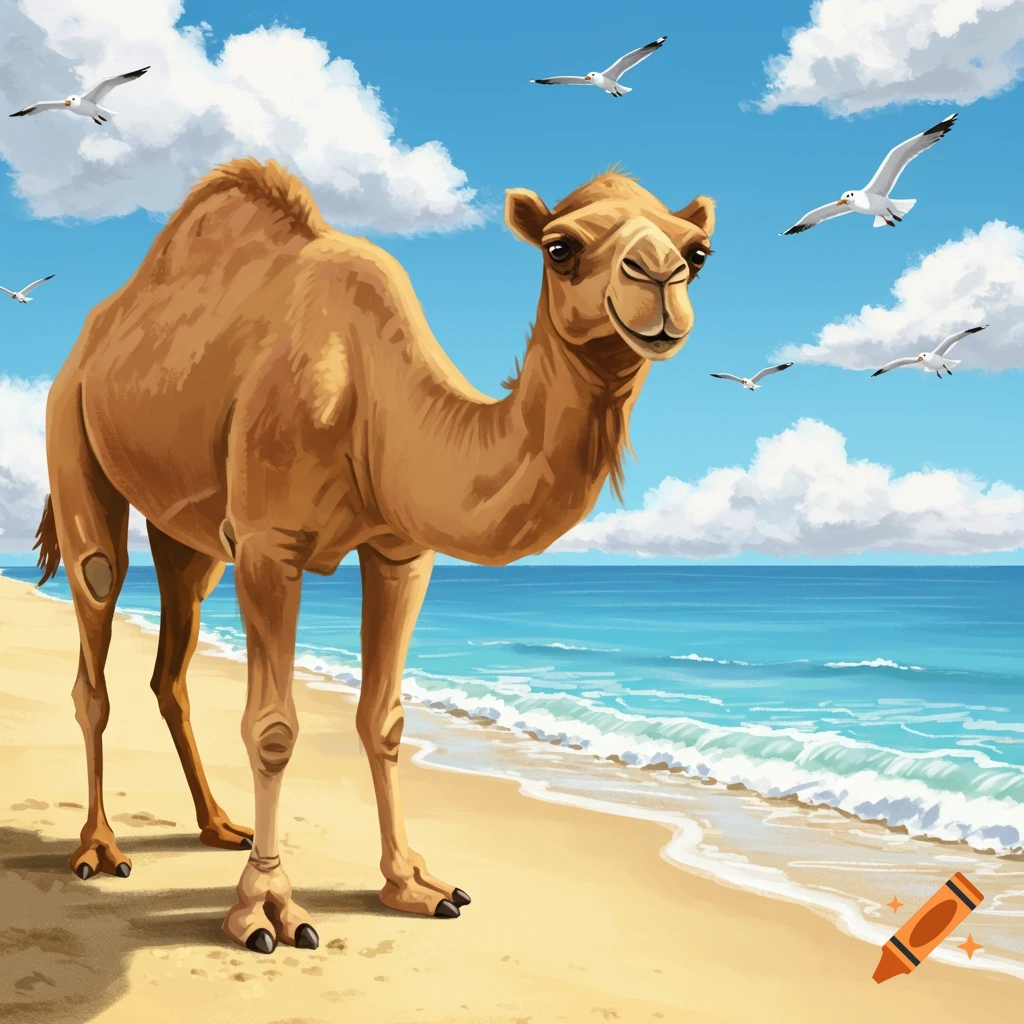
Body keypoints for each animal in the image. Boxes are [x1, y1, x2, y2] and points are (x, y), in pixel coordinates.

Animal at [33, 157, 715, 954]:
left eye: (698, 253)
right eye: (560, 247)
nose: (659, 278)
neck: (375, 395)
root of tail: (91, 336)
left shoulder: (401, 551)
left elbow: (383, 719)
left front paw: (414, 884)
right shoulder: (269, 543)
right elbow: (273, 728)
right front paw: (266, 909)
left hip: (190, 533)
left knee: (173, 659)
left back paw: (219, 825)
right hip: (71, 429)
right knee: (96, 606)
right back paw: (99, 847)